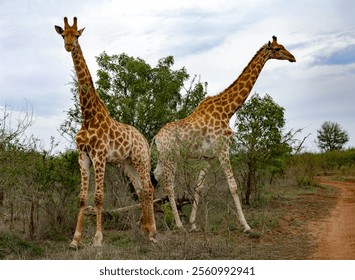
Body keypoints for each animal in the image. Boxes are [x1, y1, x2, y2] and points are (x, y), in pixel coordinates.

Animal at [55, 18, 156, 249]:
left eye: (77, 35)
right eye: (63, 34)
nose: (68, 45)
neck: (88, 116)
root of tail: (143, 138)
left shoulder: (99, 156)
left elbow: (99, 197)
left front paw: (98, 239)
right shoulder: (83, 157)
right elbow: (82, 198)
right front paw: (75, 240)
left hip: (141, 159)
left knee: (148, 188)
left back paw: (153, 233)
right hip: (127, 163)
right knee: (140, 190)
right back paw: (145, 230)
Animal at [154, 35, 296, 232]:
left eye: (283, 46)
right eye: (277, 49)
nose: (292, 57)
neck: (227, 111)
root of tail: (156, 138)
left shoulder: (209, 157)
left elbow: (199, 187)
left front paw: (193, 224)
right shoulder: (223, 150)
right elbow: (234, 186)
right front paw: (246, 225)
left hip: (162, 158)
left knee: (151, 180)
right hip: (171, 156)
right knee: (168, 186)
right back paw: (177, 224)